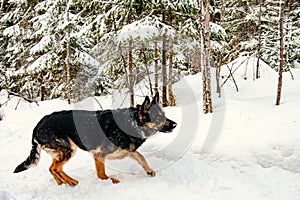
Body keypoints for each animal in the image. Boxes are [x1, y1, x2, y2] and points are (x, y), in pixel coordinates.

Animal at [14, 93, 177, 186]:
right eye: (159, 118)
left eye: (165, 115)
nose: (175, 124)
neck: (132, 123)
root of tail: (37, 126)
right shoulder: (99, 155)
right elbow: (101, 174)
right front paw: (111, 181)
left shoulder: (129, 151)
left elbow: (141, 157)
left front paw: (149, 170)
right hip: (68, 150)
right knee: (55, 168)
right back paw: (70, 181)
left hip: (63, 151)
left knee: (53, 168)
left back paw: (62, 182)